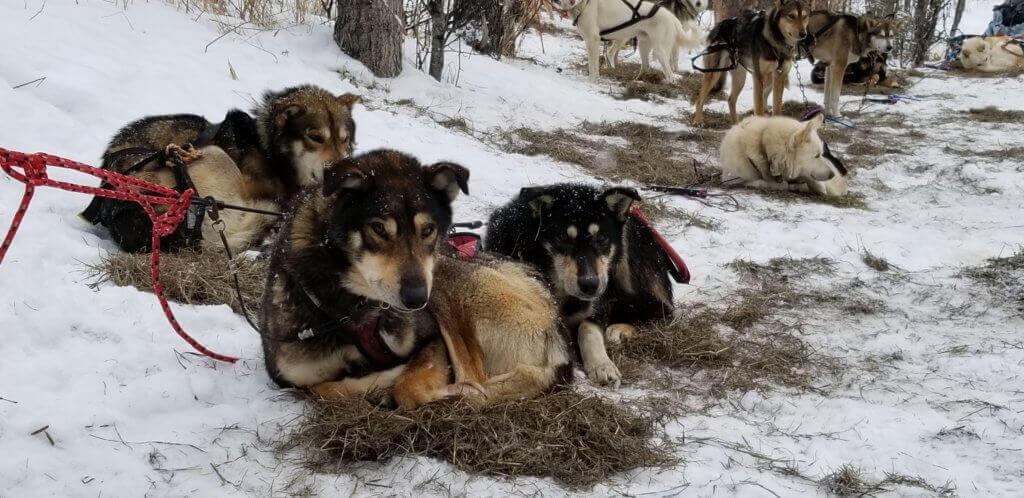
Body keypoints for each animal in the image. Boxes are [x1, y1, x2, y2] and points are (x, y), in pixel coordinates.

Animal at [485, 184, 675, 387]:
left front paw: (602, 365)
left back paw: (619, 329)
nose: (590, 284)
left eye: (601, 237)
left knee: (662, 310)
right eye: (562, 237)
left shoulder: (597, 307)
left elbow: (588, 328)